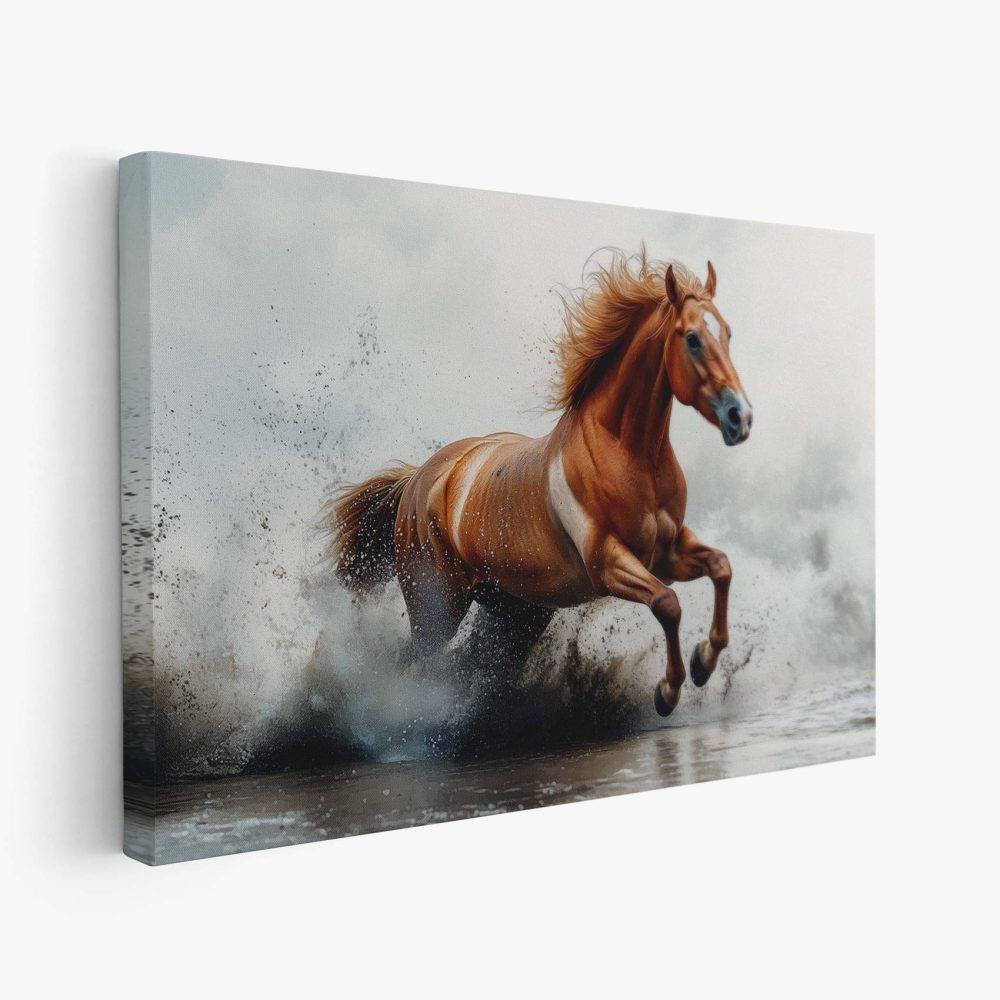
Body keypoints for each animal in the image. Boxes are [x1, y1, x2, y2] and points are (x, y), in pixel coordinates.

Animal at [323, 250, 752, 717]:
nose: (740, 417)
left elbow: (721, 567)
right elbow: (667, 604)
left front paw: (703, 662)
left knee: (471, 666)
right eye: (692, 338)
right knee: (414, 663)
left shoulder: (666, 554)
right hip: (436, 607)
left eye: (728, 333)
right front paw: (668, 690)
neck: (626, 451)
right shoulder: (608, 564)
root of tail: (418, 480)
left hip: (517, 613)